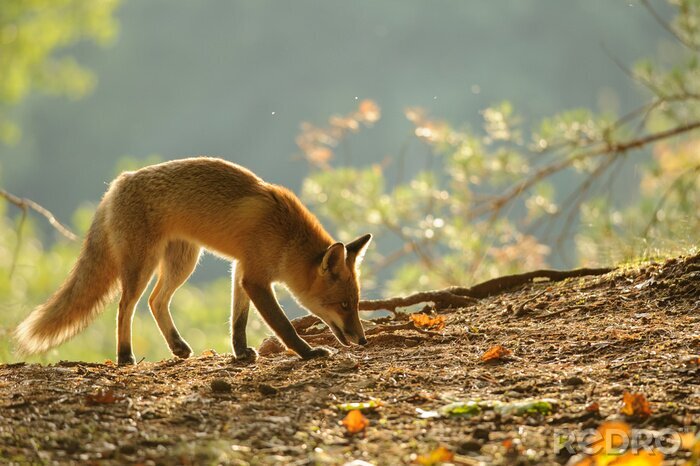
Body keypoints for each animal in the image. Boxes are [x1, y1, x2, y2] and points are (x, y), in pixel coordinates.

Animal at [15, 157, 372, 364]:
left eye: (356, 304)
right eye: (343, 305)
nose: (363, 340)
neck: (286, 236)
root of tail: (119, 182)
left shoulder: (241, 270)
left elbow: (238, 320)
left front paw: (240, 353)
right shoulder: (256, 278)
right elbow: (283, 325)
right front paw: (308, 352)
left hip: (182, 263)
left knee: (156, 301)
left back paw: (177, 347)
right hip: (142, 265)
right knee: (125, 307)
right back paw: (124, 356)